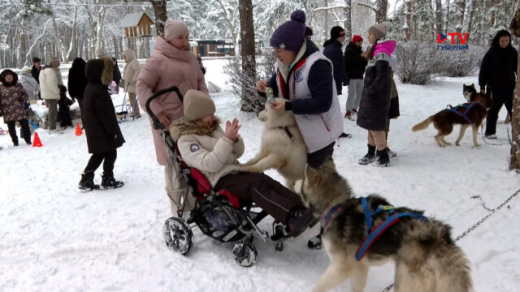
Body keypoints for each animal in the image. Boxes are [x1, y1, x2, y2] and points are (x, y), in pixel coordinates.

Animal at [294, 160, 474, 292]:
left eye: (302, 179)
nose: (294, 181)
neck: (335, 205)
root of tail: (439, 237)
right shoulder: (360, 267)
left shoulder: (342, 267)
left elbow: (319, 286)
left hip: (404, 281)